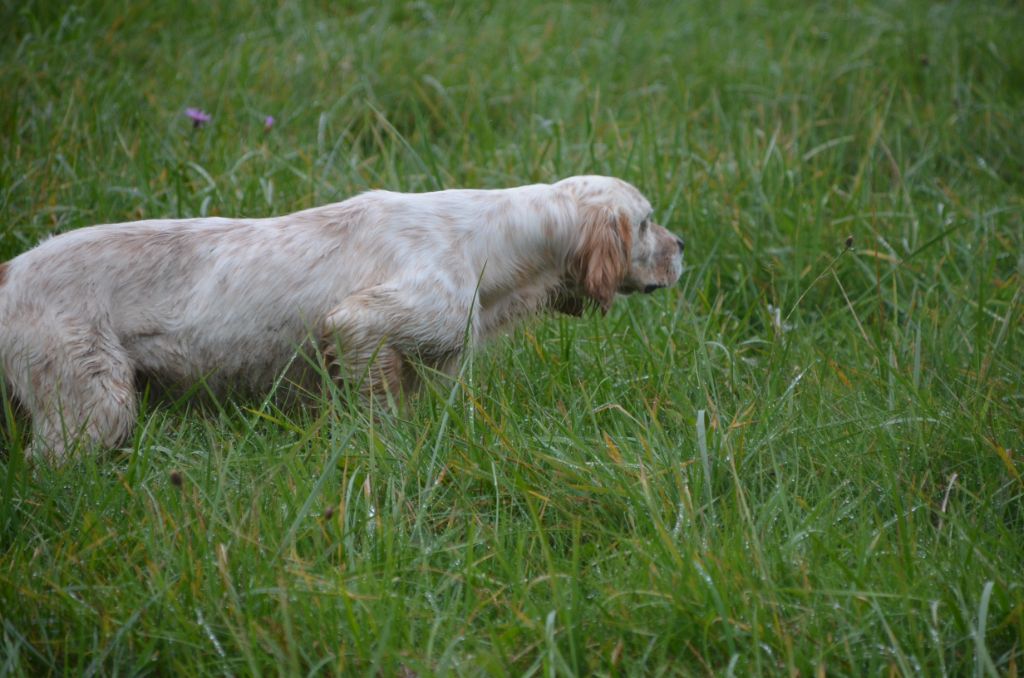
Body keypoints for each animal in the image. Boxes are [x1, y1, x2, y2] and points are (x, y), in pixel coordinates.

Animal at [2, 175, 688, 462]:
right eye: (648, 222)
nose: (684, 247)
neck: (490, 245)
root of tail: (11, 271)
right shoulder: (359, 325)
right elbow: (379, 414)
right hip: (95, 404)